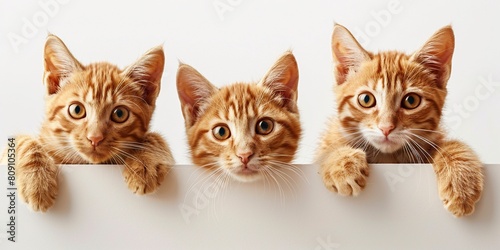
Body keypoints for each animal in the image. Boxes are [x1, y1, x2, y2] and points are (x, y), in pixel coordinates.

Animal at [5, 34, 174, 211]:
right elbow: (22, 142)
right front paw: (37, 182)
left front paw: (144, 164)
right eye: (77, 110)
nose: (95, 138)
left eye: (119, 114)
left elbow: (155, 137)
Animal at [316, 24, 484, 218]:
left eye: (411, 101)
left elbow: (452, 144)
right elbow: (326, 150)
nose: (386, 128)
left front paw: (461, 182)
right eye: (366, 99)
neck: (387, 158)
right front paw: (341, 164)